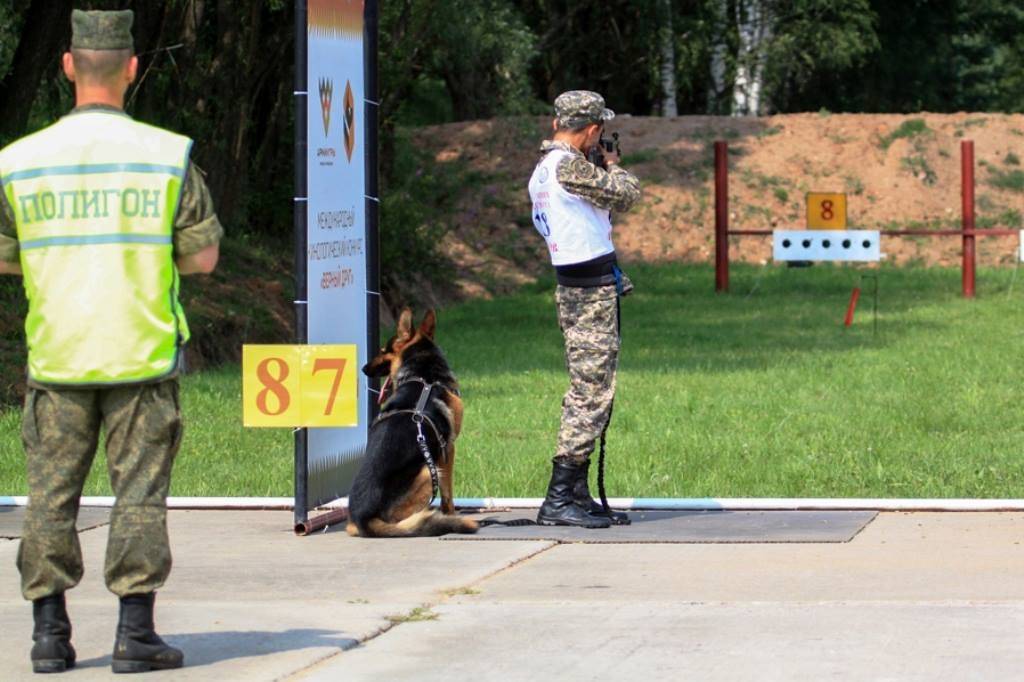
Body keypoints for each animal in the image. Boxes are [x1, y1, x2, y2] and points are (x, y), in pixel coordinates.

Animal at [346, 307, 477, 536]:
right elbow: (448, 495)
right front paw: (450, 514)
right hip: (427, 472)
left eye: (383, 350)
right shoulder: (449, 449)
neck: (423, 375)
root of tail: (364, 520)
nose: (363, 369)